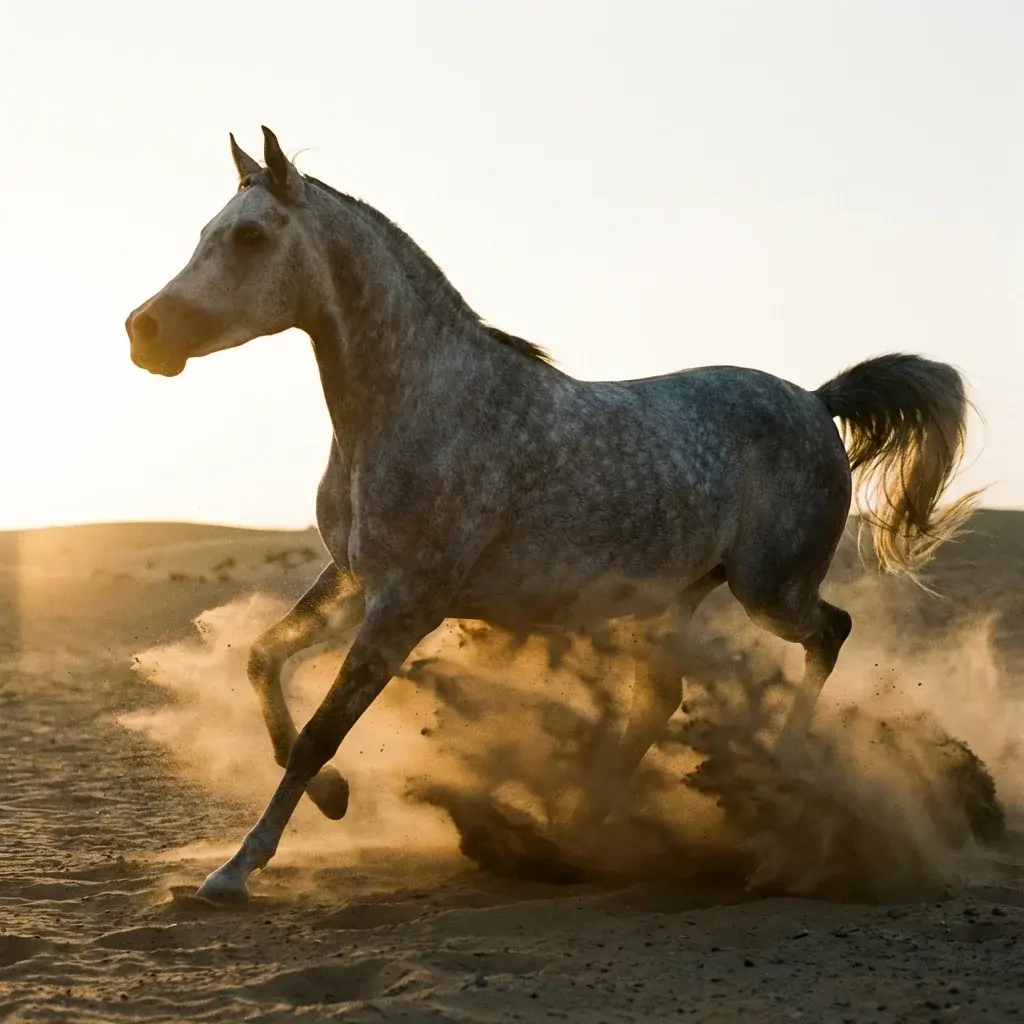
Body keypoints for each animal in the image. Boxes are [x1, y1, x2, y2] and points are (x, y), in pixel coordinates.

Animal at [125, 127, 978, 901]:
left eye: (250, 236)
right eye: (206, 233)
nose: (144, 332)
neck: (420, 401)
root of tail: (815, 399)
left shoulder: (406, 603)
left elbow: (319, 733)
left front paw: (236, 870)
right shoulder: (355, 579)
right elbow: (262, 660)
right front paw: (333, 800)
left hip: (770, 588)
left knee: (829, 633)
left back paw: (780, 770)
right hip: (673, 598)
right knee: (656, 700)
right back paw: (580, 824)